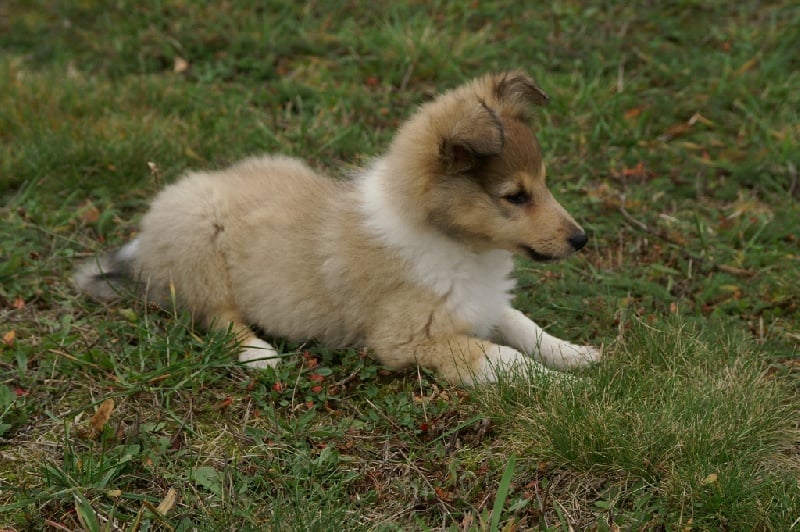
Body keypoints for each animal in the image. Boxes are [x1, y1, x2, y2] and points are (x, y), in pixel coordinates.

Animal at [75, 71, 600, 386]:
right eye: (515, 196)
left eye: (544, 182)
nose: (581, 240)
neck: (458, 246)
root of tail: (145, 238)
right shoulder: (410, 339)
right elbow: (506, 359)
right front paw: (570, 390)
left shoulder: (482, 302)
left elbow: (525, 326)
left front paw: (578, 355)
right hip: (199, 246)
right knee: (217, 315)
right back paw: (260, 354)